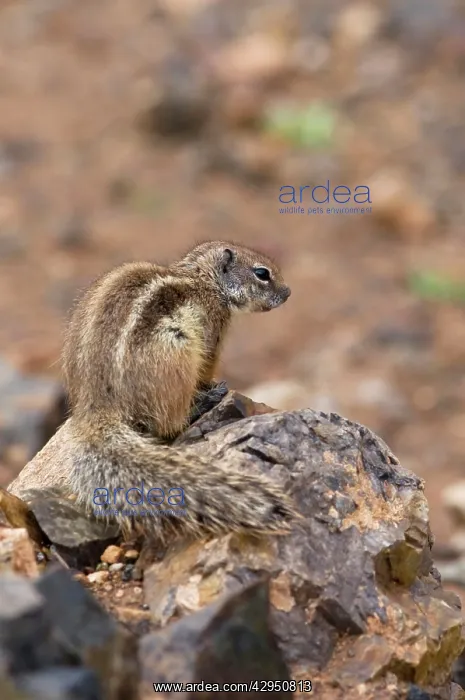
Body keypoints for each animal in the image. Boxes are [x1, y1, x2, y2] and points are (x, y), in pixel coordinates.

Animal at [12, 241, 298, 542]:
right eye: (262, 273)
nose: (288, 292)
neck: (202, 279)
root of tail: (96, 405)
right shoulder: (213, 330)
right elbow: (207, 365)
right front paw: (210, 387)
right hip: (175, 354)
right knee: (168, 424)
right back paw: (204, 403)